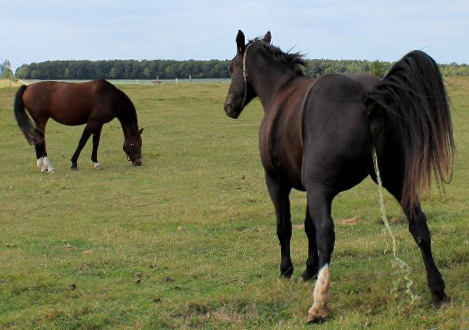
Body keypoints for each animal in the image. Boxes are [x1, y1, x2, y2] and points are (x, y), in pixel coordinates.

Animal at [14, 80, 143, 173]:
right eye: (137, 144)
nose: (139, 162)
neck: (109, 96)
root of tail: (27, 87)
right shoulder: (93, 122)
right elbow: (82, 142)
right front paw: (74, 163)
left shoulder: (99, 123)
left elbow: (96, 143)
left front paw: (96, 162)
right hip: (41, 120)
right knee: (41, 141)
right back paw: (49, 167)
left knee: (37, 139)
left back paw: (42, 167)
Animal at [223, 31, 454, 322]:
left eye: (231, 67)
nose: (228, 106)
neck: (281, 92)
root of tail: (369, 96)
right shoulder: (309, 189)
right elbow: (307, 227)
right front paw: (308, 270)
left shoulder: (278, 182)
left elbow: (285, 227)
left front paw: (286, 271)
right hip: (395, 178)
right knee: (419, 225)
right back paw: (437, 290)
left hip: (323, 189)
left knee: (327, 235)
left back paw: (319, 305)